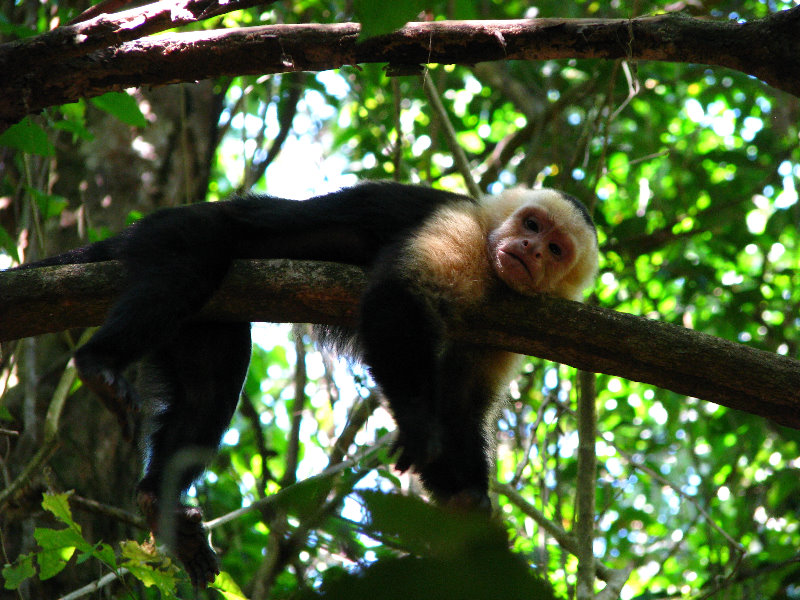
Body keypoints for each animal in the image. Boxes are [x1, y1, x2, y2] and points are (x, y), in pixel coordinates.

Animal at [9, 182, 596, 584]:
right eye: (532, 225)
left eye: (557, 249)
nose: (531, 250)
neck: (493, 275)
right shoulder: (462, 235)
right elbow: (395, 300)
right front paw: (415, 423)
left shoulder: (506, 327)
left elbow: (460, 410)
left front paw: (468, 502)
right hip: (174, 231)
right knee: (189, 264)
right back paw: (99, 364)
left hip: (208, 318)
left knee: (209, 388)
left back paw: (160, 499)